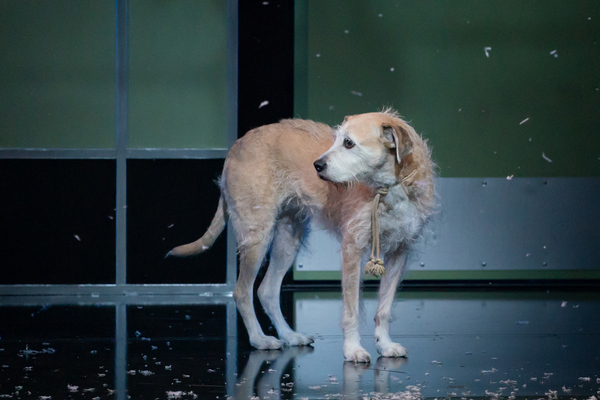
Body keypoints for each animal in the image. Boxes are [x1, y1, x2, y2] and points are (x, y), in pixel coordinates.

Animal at [169, 108, 436, 362]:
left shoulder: (400, 250)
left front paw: (385, 344)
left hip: (288, 239)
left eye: (349, 143)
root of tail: (238, 143)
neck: (388, 189)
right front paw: (352, 349)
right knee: (242, 292)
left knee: (266, 291)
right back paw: (259, 339)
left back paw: (289, 336)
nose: (317, 166)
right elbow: (351, 310)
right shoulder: (352, 248)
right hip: (257, 237)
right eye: (336, 139)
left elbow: (384, 308)